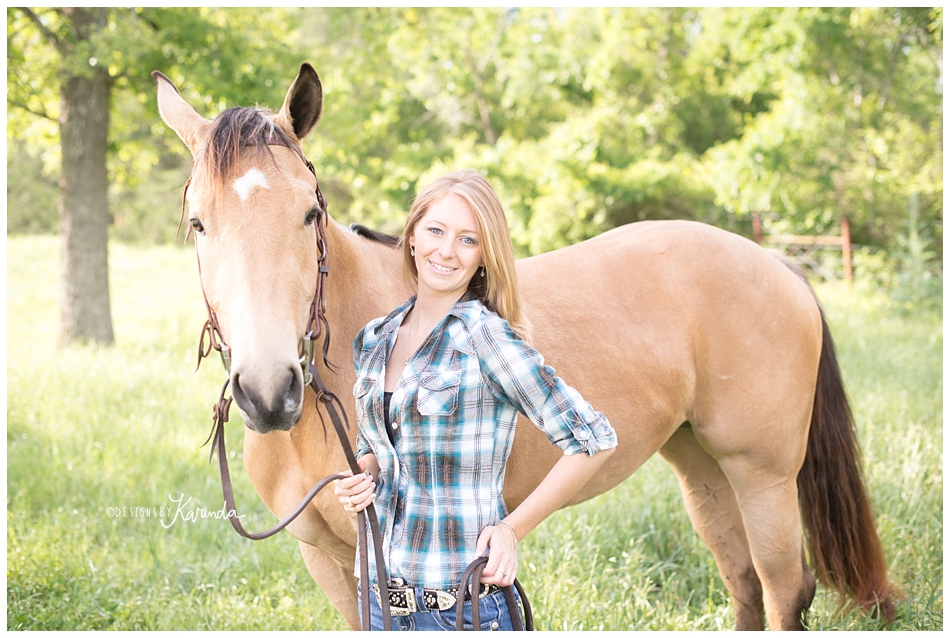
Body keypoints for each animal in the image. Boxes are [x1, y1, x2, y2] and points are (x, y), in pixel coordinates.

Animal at [153, 63, 895, 630]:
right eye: (198, 222)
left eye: (310, 211)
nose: (269, 391)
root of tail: (778, 265)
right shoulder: (333, 563)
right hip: (701, 465)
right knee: (742, 581)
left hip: (761, 473)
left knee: (782, 588)